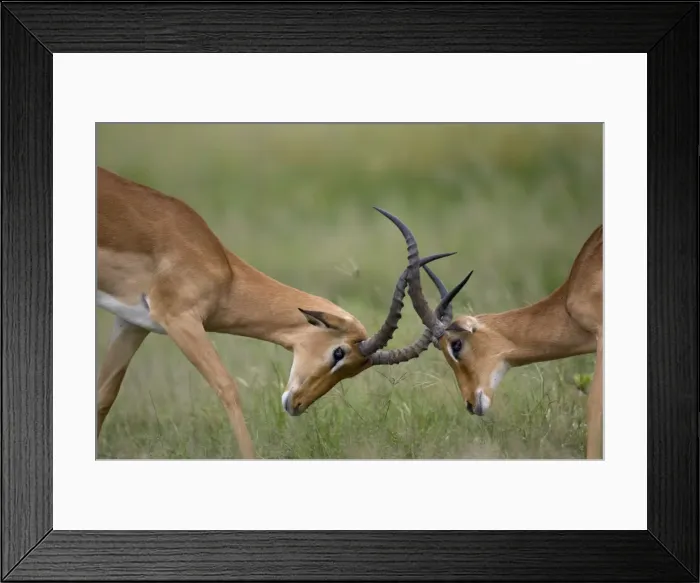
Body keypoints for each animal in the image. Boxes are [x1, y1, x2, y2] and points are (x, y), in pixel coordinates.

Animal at [96, 167, 461, 459]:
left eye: (354, 370)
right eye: (338, 352)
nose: (296, 405)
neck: (224, 271)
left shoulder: (132, 323)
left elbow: (104, 395)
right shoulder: (180, 319)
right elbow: (228, 387)